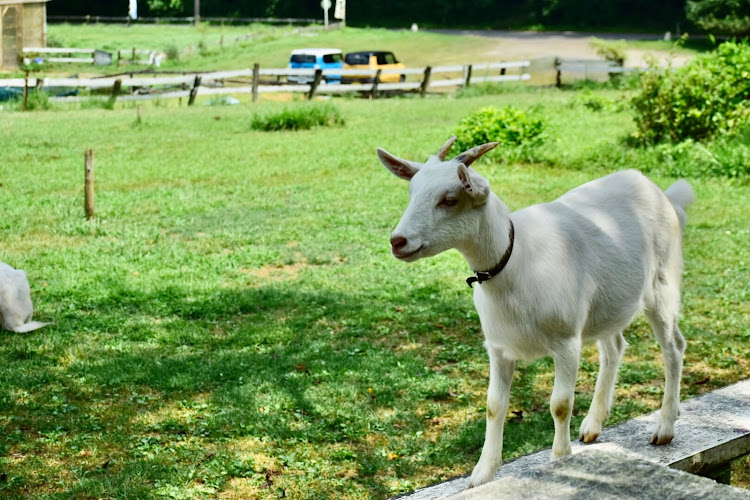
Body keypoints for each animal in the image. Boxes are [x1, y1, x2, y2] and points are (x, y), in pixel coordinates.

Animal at [382, 137, 700, 488]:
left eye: (449, 199)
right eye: (412, 192)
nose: (398, 241)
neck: (514, 260)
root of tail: (663, 194)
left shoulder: (566, 341)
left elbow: (560, 405)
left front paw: (560, 461)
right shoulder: (498, 347)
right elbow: (494, 406)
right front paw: (482, 474)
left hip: (663, 285)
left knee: (674, 347)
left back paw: (665, 427)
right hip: (604, 304)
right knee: (615, 347)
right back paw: (593, 425)